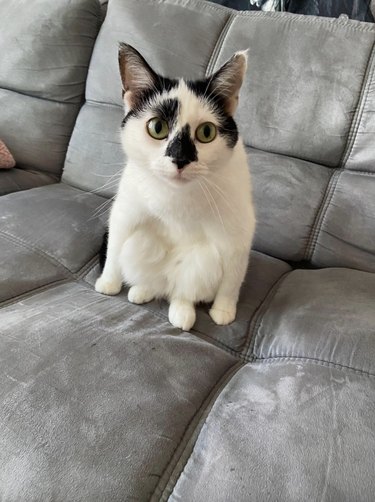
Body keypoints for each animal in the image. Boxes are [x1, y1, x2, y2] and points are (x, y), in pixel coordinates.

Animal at [95, 43, 258, 332]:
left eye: (206, 132)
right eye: (157, 127)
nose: (180, 159)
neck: (176, 198)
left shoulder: (238, 230)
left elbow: (233, 277)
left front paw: (223, 311)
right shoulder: (126, 211)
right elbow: (115, 245)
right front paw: (108, 283)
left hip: (201, 263)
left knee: (182, 290)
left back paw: (182, 311)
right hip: (140, 247)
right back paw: (141, 291)